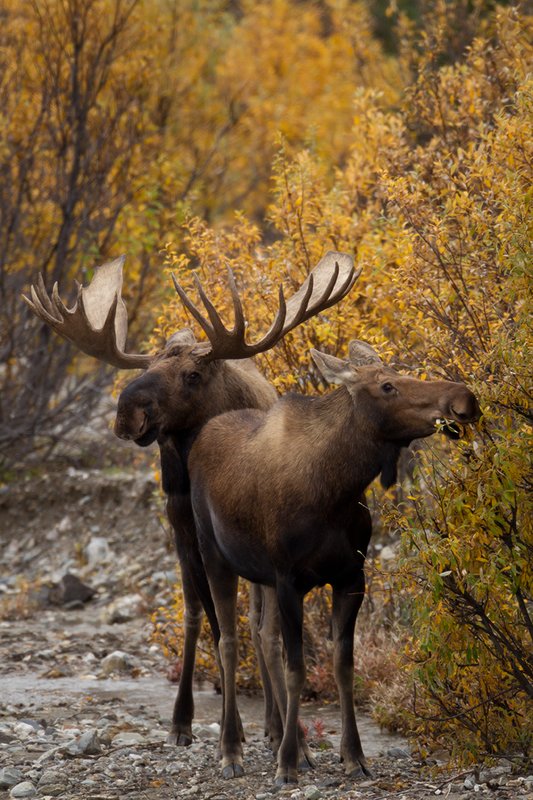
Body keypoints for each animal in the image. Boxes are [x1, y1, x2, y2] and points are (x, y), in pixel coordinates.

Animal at [22, 251, 358, 756]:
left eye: (193, 375)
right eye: (142, 370)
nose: (127, 413)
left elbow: (258, 630)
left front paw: (273, 733)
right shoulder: (185, 529)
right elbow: (208, 623)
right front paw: (207, 728)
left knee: (258, 626)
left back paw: (276, 724)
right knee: (208, 618)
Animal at [187, 339, 481, 785]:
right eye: (387, 385)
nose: (464, 399)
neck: (335, 492)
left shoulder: (350, 577)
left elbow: (344, 666)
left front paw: (352, 756)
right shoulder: (289, 579)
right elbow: (297, 670)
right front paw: (286, 765)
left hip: (260, 576)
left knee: (262, 636)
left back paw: (295, 743)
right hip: (213, 553)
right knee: (229, 642)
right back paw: (233, 751)